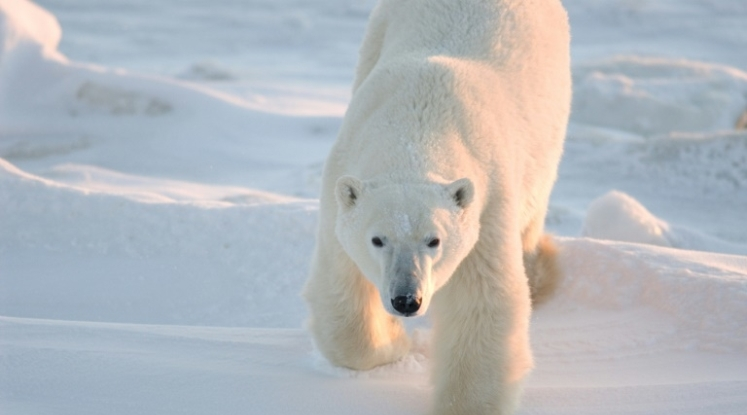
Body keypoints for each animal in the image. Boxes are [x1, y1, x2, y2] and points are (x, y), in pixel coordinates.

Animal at [304, 0, 572, 412]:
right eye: (377, 239)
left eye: (434, 240)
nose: (406, 300)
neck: (419, 121)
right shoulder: (342, 178)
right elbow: (341, 286)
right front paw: (394, 341)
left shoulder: (488, 201)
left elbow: (481, 302)